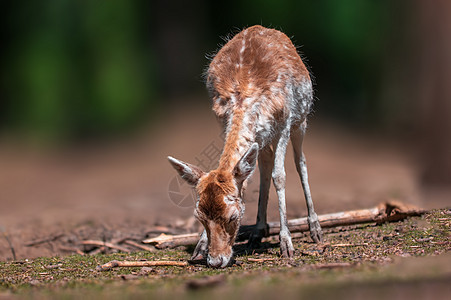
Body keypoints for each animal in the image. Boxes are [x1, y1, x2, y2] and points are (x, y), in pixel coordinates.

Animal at [169, 25, 322, 268]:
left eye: (233, 216)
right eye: (199, 217)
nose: (216, 260)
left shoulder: (285, 123)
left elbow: (281, 176)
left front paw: (286, 244)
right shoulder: (223, 122)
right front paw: (199, 247)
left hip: (302, 119)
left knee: (300, 163)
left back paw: (315, 227)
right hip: (262, 138)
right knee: (264, 166)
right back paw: (258, 231)